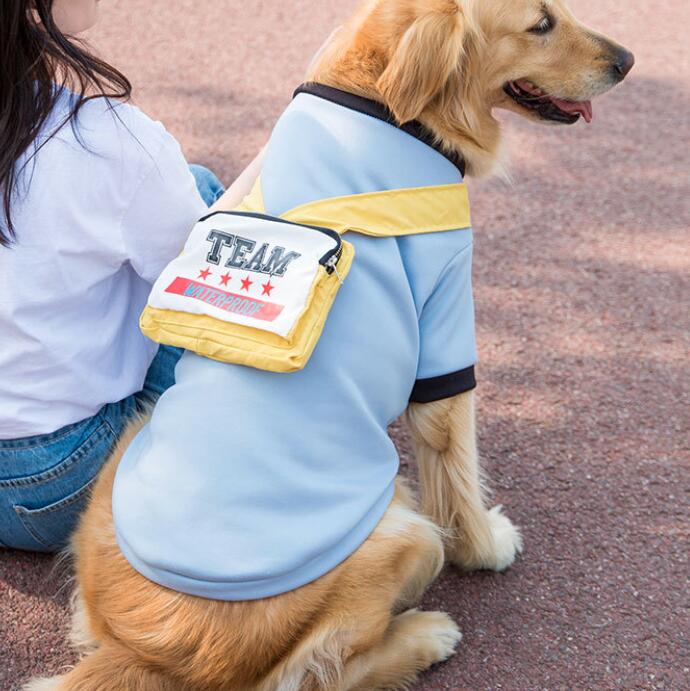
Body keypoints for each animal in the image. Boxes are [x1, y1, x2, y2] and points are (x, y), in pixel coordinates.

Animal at [28, 1, 628, 691]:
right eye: (540, 25)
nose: (628, 61)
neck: (386, 105)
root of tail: (142, 654)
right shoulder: (447, 323)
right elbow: (458, 471)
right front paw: (488, 547)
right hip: (404, 530)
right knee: (316, 673)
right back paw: (426, 635)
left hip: (127, 448)